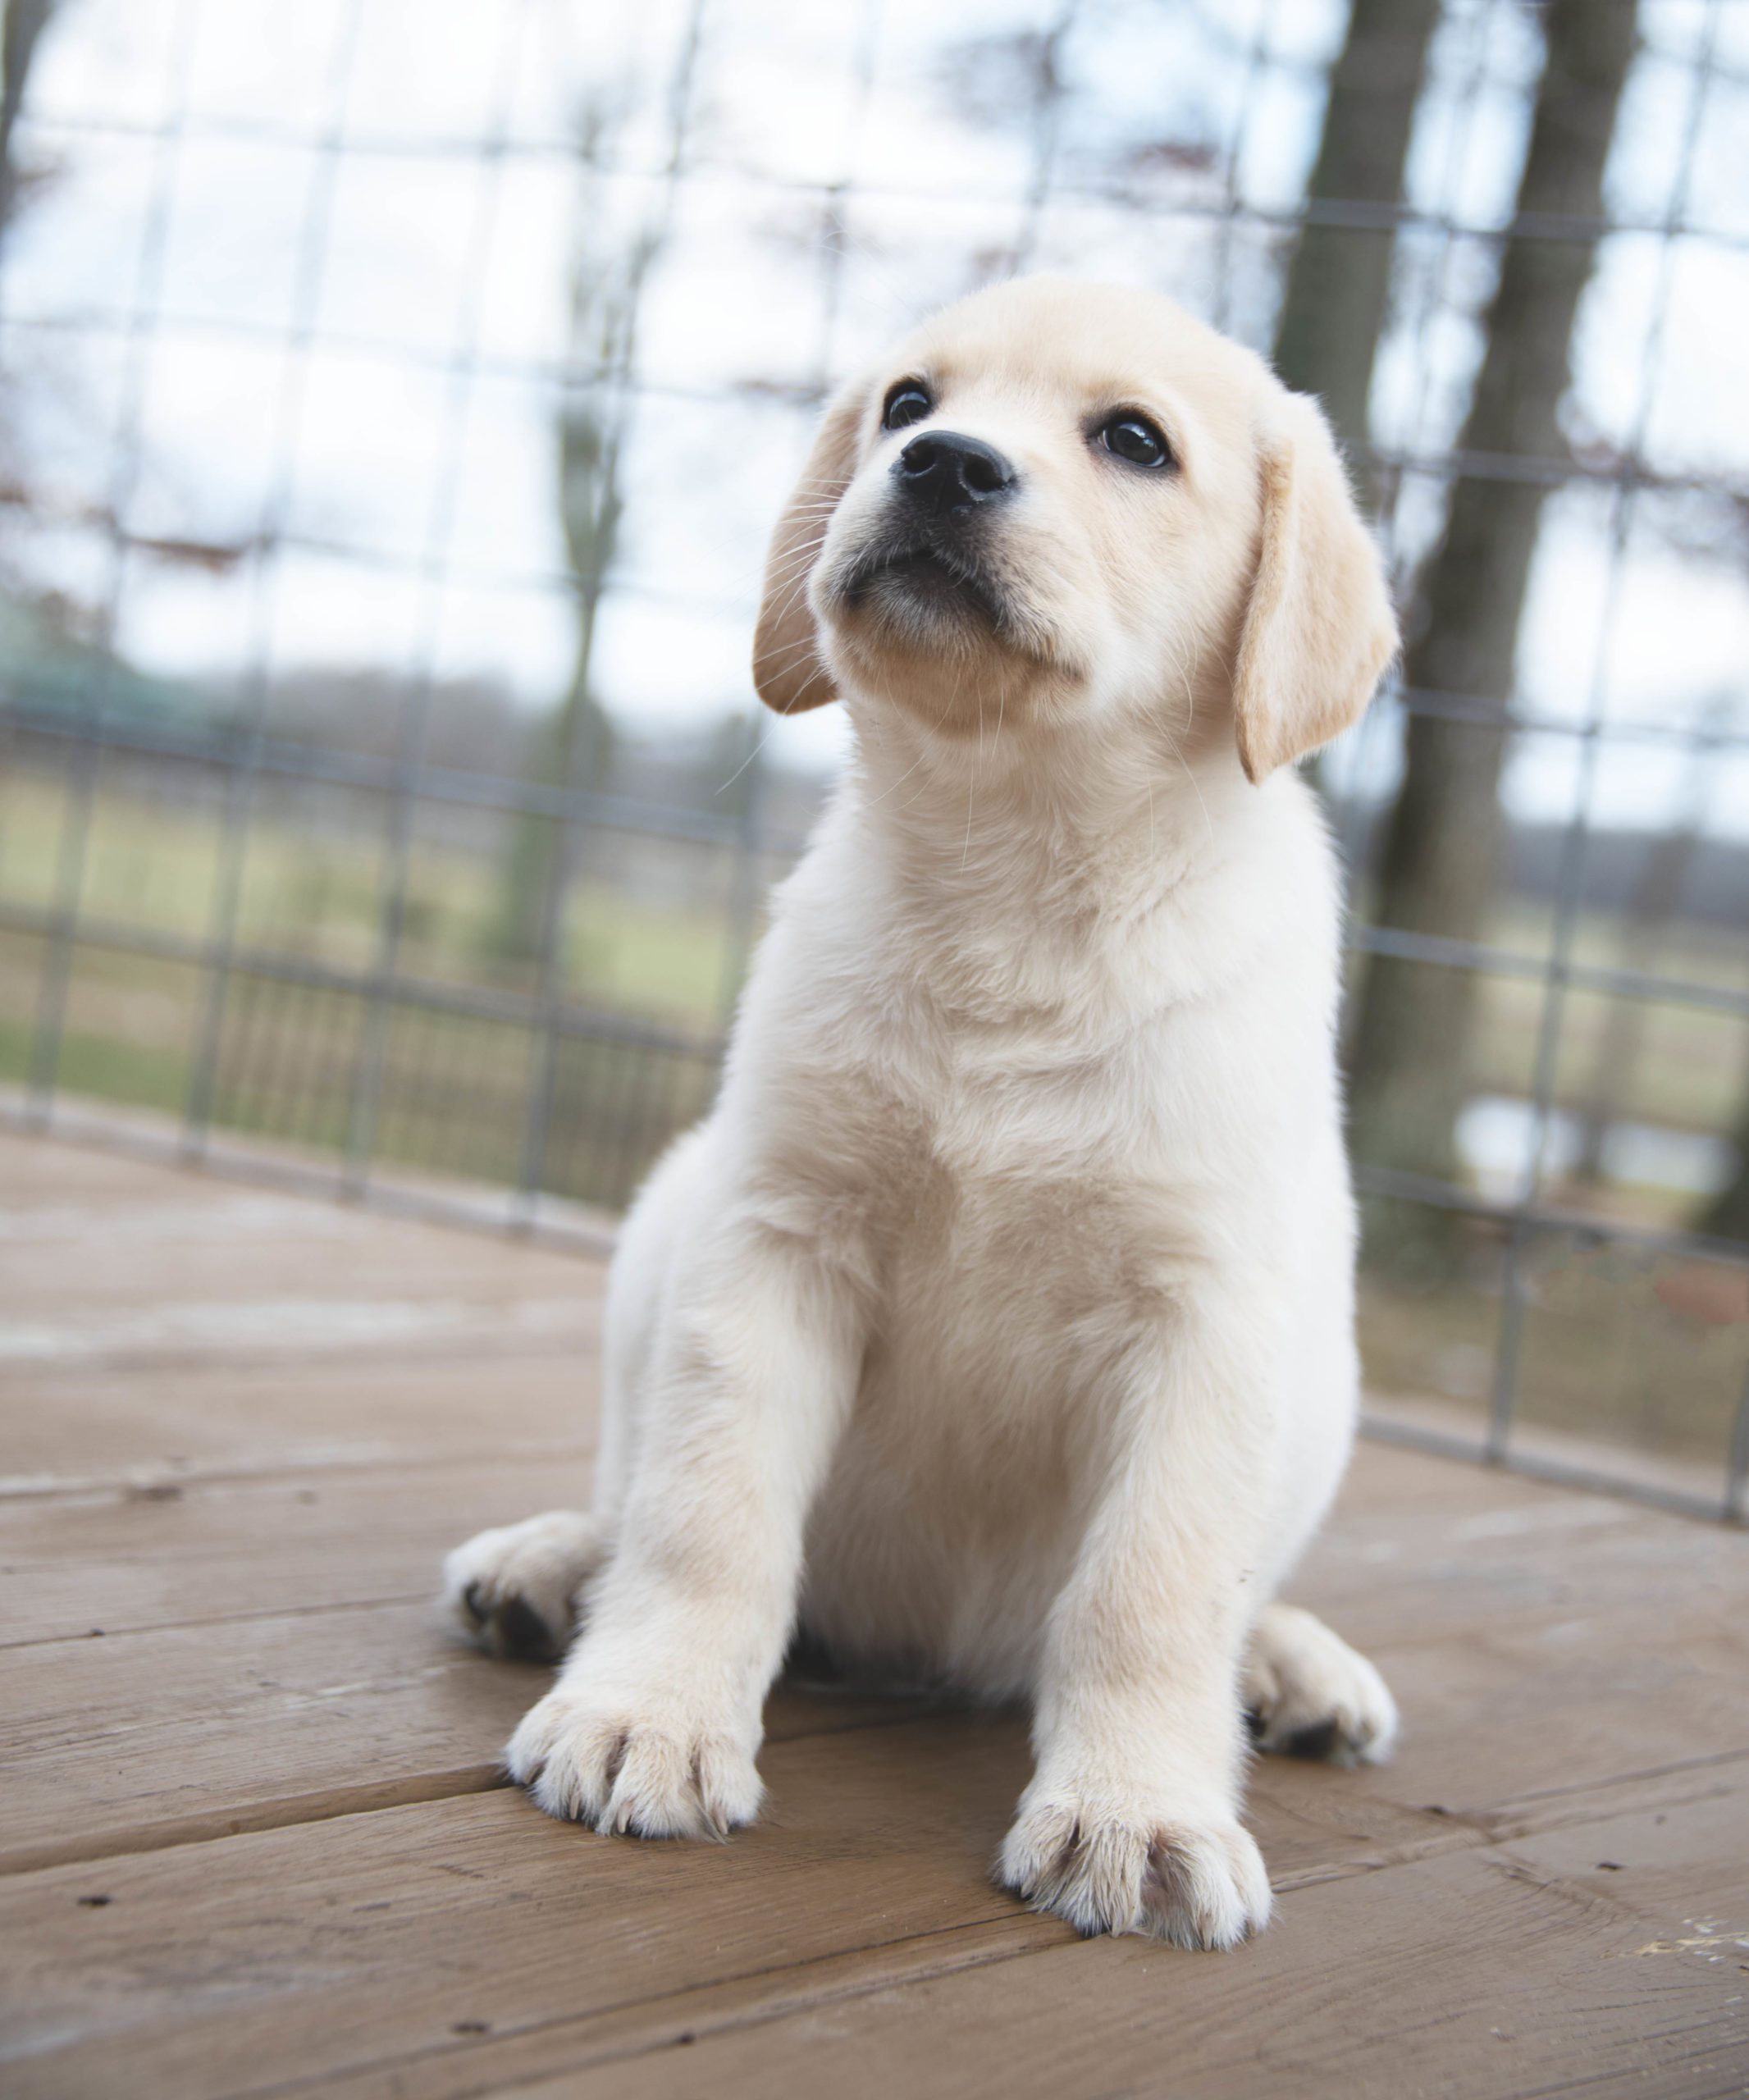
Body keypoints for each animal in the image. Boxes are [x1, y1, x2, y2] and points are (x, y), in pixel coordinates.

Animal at [443, 279, 1402, 1948]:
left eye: (1133, 441)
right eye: (908, 403)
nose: (945, 466)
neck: (1016, 882)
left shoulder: (1208, 1320)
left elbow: (1151, 1596)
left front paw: (1140, 1813)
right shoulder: (774, 1239)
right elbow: (707, 1513)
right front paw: (650, 1713)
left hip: (1319, 1375)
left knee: (1232, 1592)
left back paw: (1292, 1663)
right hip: (664, 1225)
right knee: (627, 1495)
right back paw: (549, 1567)